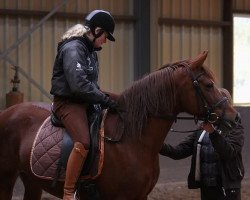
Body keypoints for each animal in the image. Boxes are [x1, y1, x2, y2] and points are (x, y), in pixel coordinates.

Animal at [0, 52, 238, 200]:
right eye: (208, 85)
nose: (234, 117)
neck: (132, 139)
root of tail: (8, 112)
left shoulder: (141, 196)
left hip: (32, 180)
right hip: (7, 178)